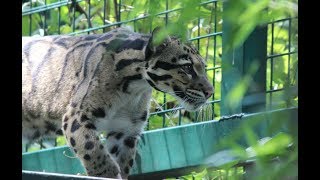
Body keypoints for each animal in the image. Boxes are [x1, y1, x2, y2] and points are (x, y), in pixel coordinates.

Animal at [21, 27, 212, 179]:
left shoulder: (126, 130)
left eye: (203, 67)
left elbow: (122, 160)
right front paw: (107, 173)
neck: (135, 88)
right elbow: (93, 150)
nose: (210, 92)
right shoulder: (76, 116)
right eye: (187, 67)